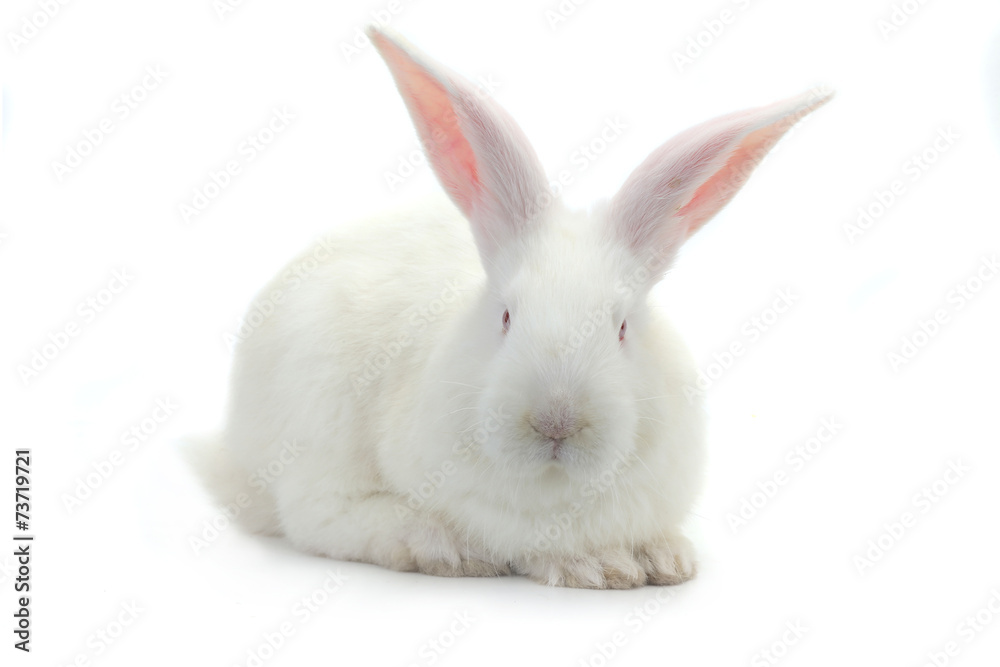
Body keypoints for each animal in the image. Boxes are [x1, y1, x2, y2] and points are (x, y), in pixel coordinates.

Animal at [190, 26, 831, 588]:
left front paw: (663, 560)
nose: (556, 421)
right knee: (317, 515)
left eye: (622, 327)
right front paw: (600, 568)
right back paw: (432, 544)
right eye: (505, 316)